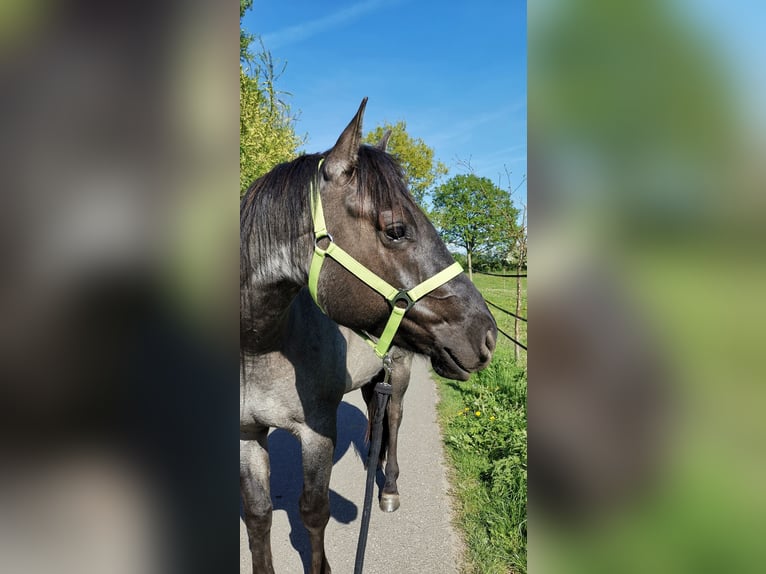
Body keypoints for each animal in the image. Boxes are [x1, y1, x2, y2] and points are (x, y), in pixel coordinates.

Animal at [240, 98, 497, 574]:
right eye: (396, 229)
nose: (487, 335)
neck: (260, 346)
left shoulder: (317, 432)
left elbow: (313, 511)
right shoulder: (247, 435)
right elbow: (258, 515)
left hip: (400, 375)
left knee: (392, 422)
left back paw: (389, 488)